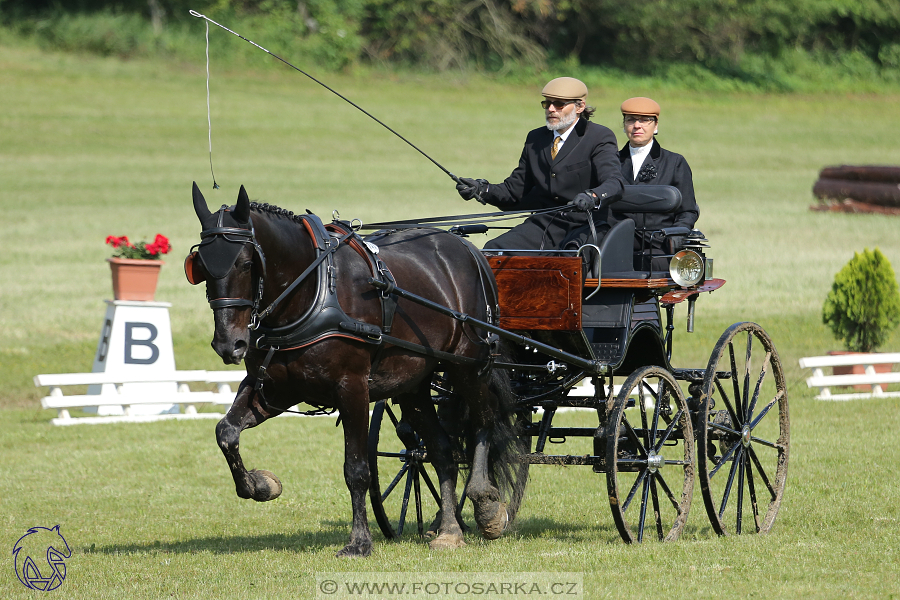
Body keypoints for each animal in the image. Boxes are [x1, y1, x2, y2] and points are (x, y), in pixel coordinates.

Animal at [186, 184, 524, 556]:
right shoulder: (275, 389)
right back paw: (450, 530)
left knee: (484, 420)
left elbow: (357, 469)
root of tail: (467, 248)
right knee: (442, 450)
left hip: (467, 366)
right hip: (414, 384)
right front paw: (261, 485)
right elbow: (226, 431)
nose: (228, 344)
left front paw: (359, 542)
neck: (314, 289)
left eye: (246, 263)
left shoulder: (353, 389)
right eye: (200, 266)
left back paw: (485, 504)